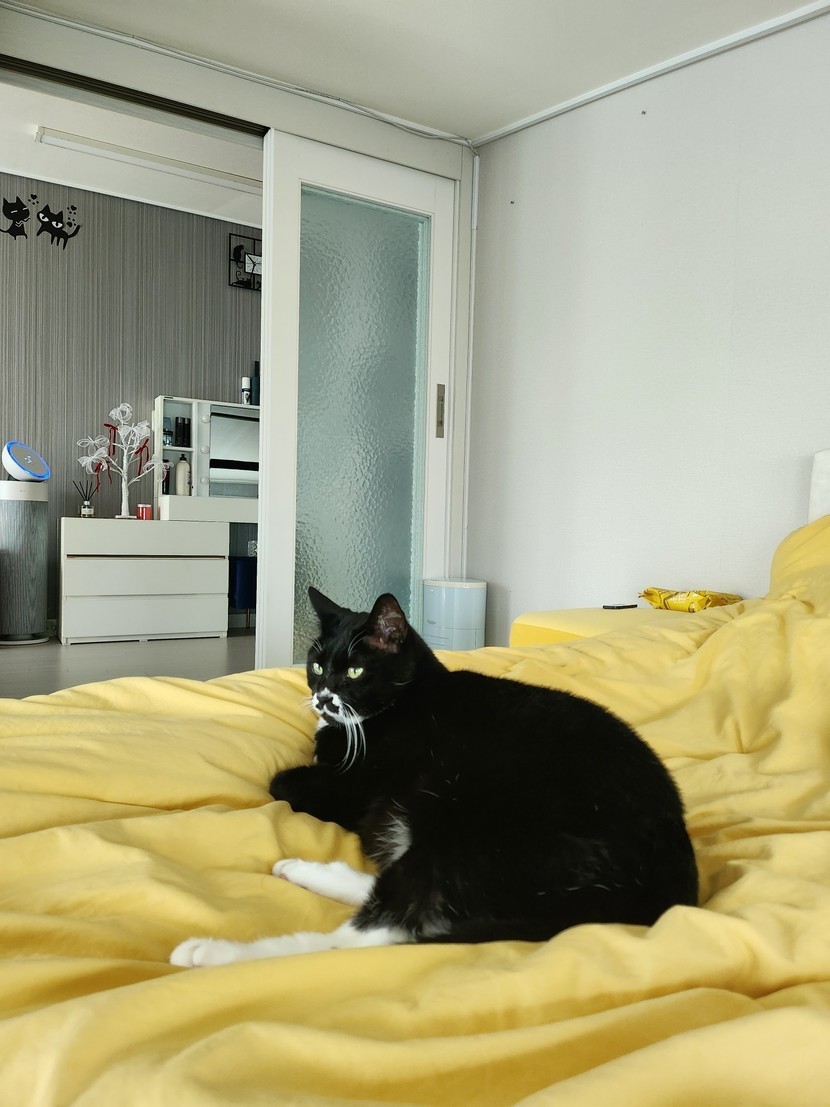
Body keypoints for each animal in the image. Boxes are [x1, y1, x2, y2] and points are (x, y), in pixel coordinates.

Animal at [171, 588, 698, 967]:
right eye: (316, 665)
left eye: (355, 671)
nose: (321, 698)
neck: (404, 699)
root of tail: (661, 894)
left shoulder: (351, 787)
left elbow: (280, 782)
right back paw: (301, 870)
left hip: (474, 837)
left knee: (372, 935)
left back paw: (212, 953)